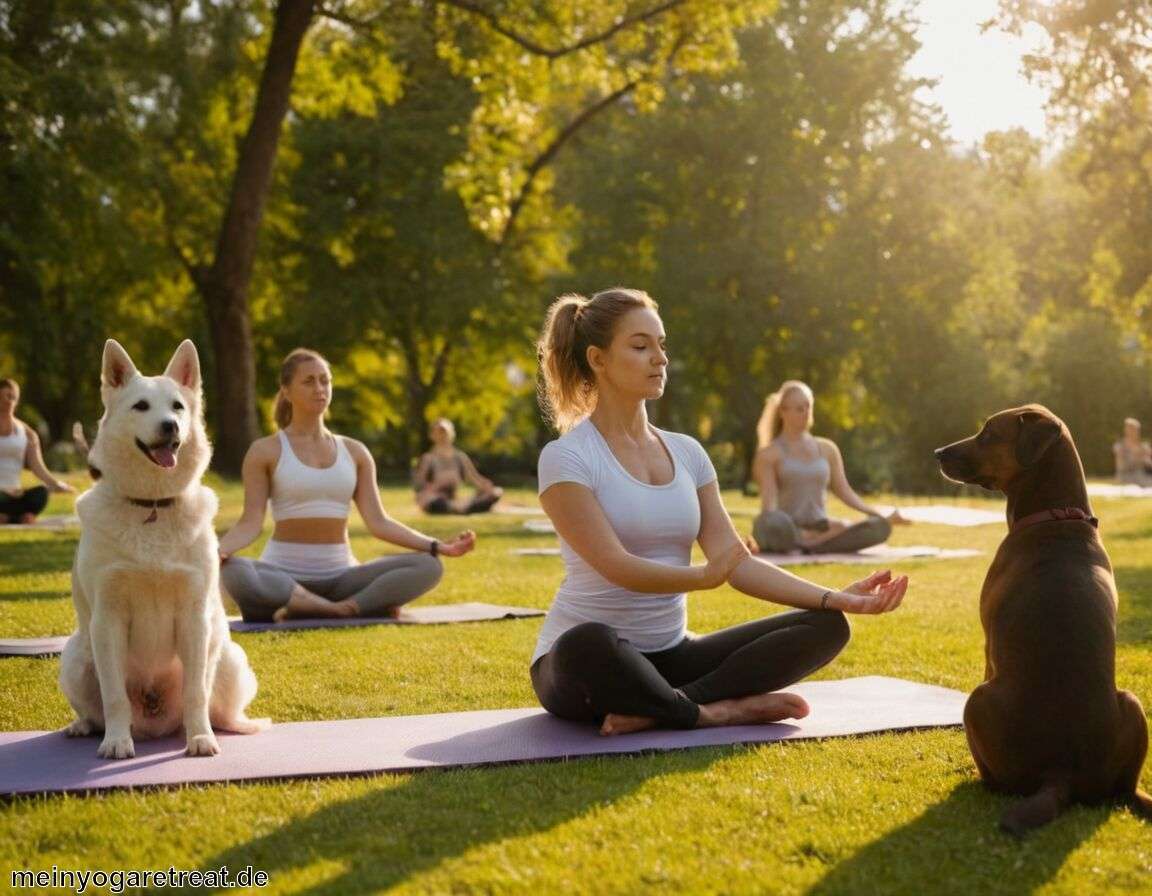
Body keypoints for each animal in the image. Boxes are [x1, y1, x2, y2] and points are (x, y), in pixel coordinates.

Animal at [61, 336, 267, 755]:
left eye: (177, 406)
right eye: (141, 406)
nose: (170, 426)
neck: (151, 506)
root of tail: (156, 723)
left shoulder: (193, 616)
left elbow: (196, 692)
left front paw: (200, 738)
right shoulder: (107, 618)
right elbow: (114, 696)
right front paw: (117, 742)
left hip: (230, 657)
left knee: (221, 708)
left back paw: (232, 726)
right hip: (74, 656)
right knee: (94, 709)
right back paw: (84, 727)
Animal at [935, 403, 1152, 829]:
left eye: (988, 433)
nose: (938, 453)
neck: (1056, 515)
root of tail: (1059, 772)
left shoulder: (988, 647)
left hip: (976, 700)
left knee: (995, 781)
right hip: (1133, 703)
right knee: (1125, 791)